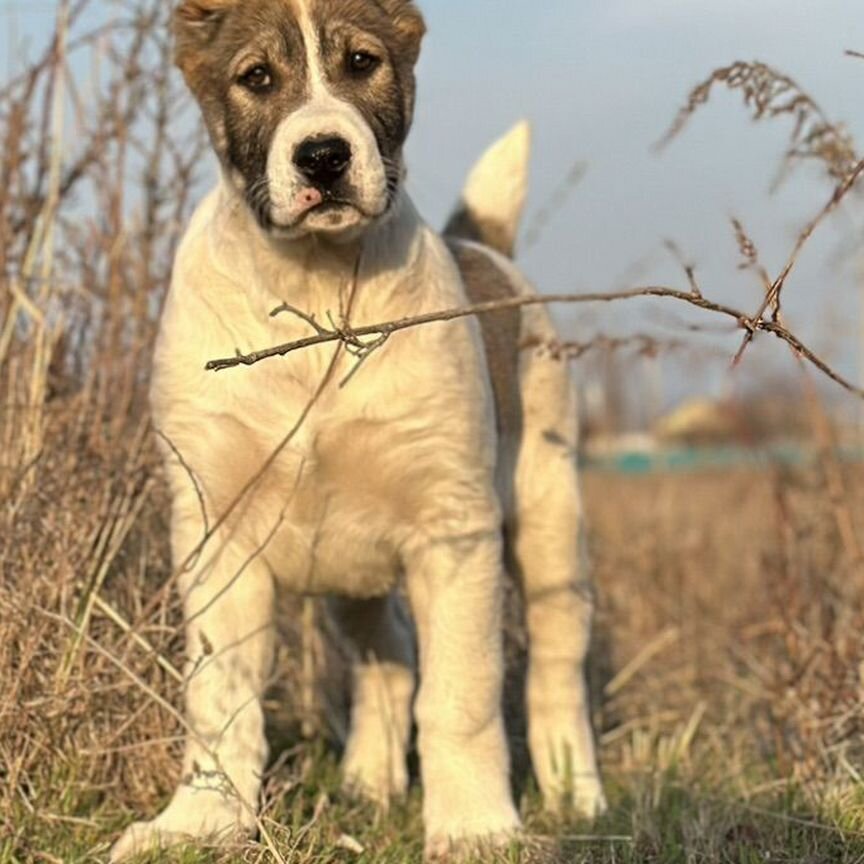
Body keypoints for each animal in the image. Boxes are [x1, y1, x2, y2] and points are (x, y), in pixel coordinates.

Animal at [111, 3, 604, 860]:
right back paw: (368, 783)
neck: (312, 281)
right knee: (391, 658)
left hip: (547, 519)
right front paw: (198, 823)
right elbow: (219, 694)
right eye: (257, 78)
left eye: (362, 63)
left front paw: (475, 828)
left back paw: (576, 793)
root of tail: (483, 249)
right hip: (352, 573)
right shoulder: (215, 533)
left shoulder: (453, 531)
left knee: (553, 663)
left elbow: (462, 694)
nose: (323, 155)